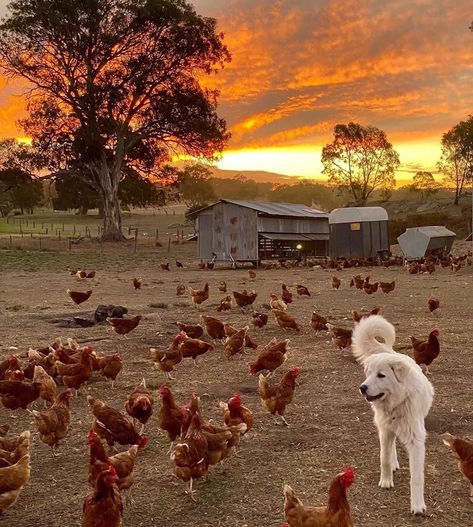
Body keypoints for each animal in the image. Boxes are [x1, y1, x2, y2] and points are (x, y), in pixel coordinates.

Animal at [352, 316, 434, 512]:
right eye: (368, 374)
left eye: (381, 375)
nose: (362, 387)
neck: (397, 404)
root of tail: (392, 352)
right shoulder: (385, 430)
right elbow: (384, 458)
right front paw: (386, 481)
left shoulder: (416, 439)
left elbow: (417, 477)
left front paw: (417, 505)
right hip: (385, 427)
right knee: (391, 447)